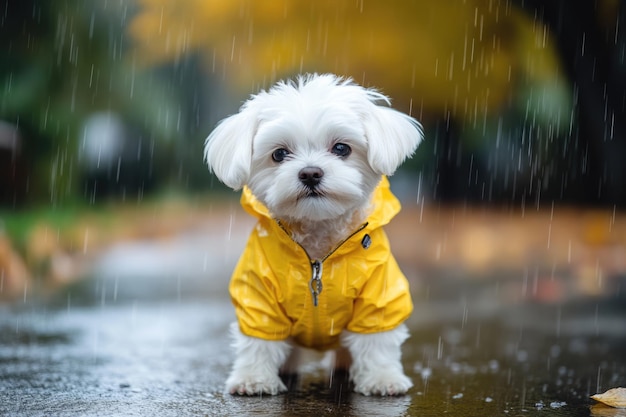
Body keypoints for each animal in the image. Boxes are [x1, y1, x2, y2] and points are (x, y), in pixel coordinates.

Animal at [205, 73, 424, 394]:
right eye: (279, 154)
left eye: (341, 148)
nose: (310, 173)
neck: (319, 250)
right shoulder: (257, 294)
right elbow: (258, 340)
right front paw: (254, 378)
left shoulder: (379, 293)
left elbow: (377, 340)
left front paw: (382, 379)